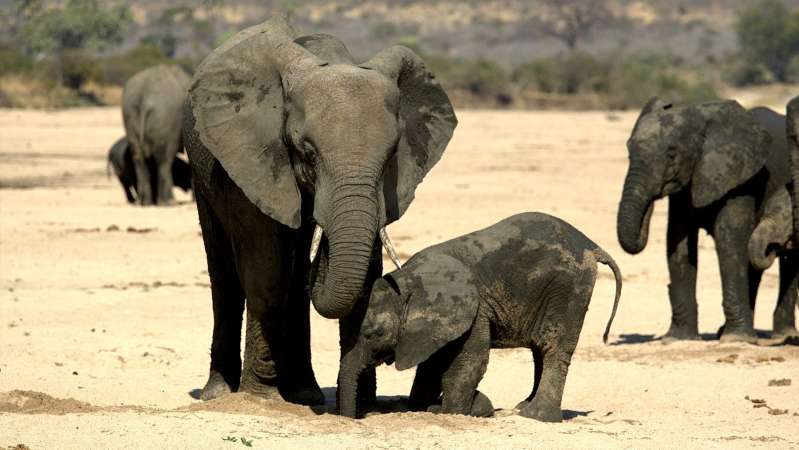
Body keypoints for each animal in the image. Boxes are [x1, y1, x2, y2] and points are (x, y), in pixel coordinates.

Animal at [122, 64, 191, 205]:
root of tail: (144, 99)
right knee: (164, 159)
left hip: (129, 114)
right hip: (165, 118)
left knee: (139, 157)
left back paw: (145, 202)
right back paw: (167, 201)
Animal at [182, 17, 457, 405]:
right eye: (308, 153)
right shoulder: (252, 160)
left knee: (294, 278)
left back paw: (305, 393)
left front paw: (361, 404)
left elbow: (364, 272)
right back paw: (219, 393)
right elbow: (266, 270)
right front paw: (262, 398)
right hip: (202, 170)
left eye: (391, 155)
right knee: (226, 273)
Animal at [338, 212, 622, 422]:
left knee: (553, 346)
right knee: (540, 350)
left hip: (567, 287)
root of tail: (589, 244)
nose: (355, 418)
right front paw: (426, 406)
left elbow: (467, 362)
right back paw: (523, 406)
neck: (408, 279)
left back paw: (536, 416)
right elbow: (432, 364)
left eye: (373, 334)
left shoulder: (475, 311)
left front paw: (452, 411)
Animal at [617, 98, 790, 342]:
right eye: (629, 151)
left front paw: (735, 339)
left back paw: (779, 336)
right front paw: (678, 339)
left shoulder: (740, 176)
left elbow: (729, 240)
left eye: (672, 155)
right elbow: (678, 243)